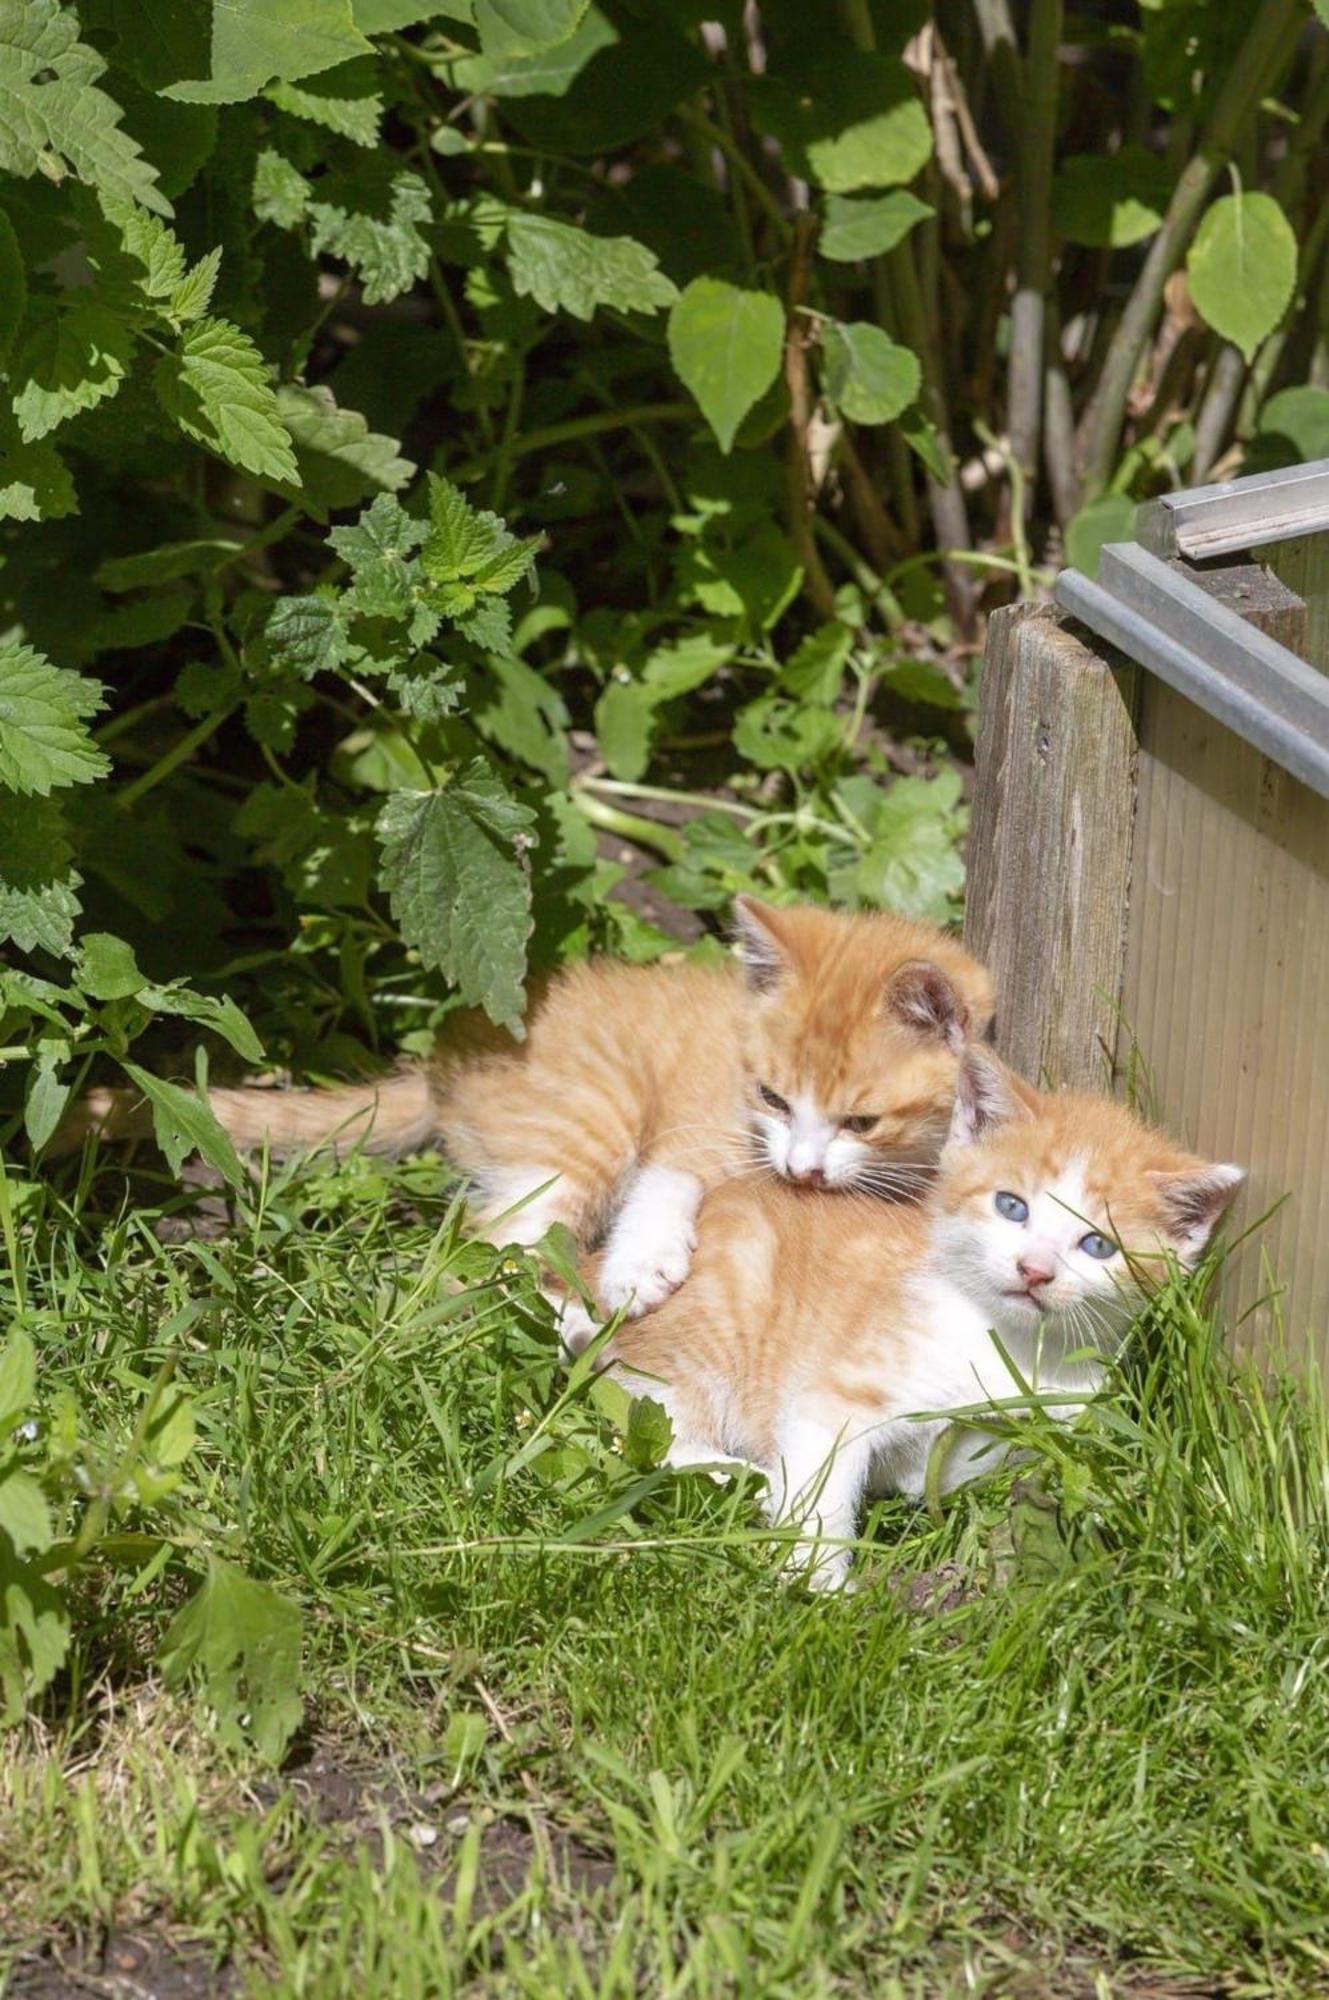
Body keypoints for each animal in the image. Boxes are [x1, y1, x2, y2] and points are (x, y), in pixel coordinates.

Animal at [62, 900, 992, 1320]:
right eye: (770, 1096)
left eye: (859, 1123)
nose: (799, 1168)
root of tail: (450, 1054)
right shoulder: (694, 1116)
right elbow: (670, 1177)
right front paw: (640, 1264)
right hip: (587, 1114)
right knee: (490, 1244)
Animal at [608, 1048, 1240, 1592]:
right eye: (1012, 1206)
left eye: (1098, 1246)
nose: (1034, 1270)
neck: (1009, 1344)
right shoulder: (836, 1395)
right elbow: (822, 1480)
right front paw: (818, 1581)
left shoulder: (1048, 1426)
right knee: (641, 1432)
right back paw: (743, 1478)